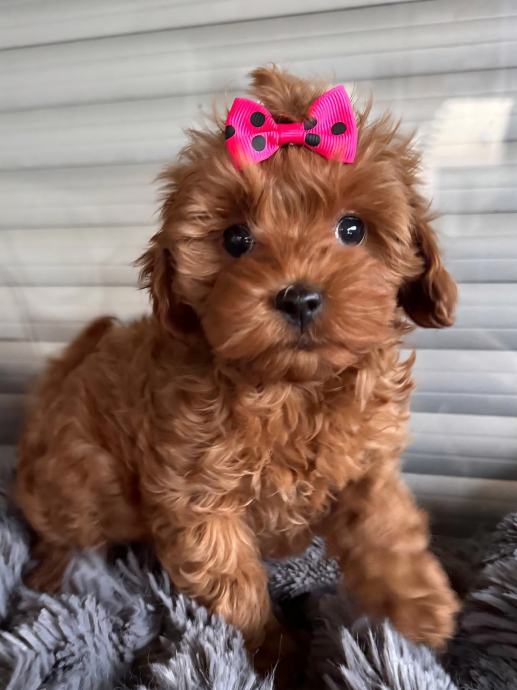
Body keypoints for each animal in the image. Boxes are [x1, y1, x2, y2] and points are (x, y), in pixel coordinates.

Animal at [16, 65, 459, 652]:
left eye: (352, 228)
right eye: (235, 239)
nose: (299, 297)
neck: (291, 389)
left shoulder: (365, 459)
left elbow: (383, 522)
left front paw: (417, 605)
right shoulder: (198, 494)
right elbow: (235, 586)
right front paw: (276, 656)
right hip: (81, 481)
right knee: (56, 523)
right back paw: (49, 572)